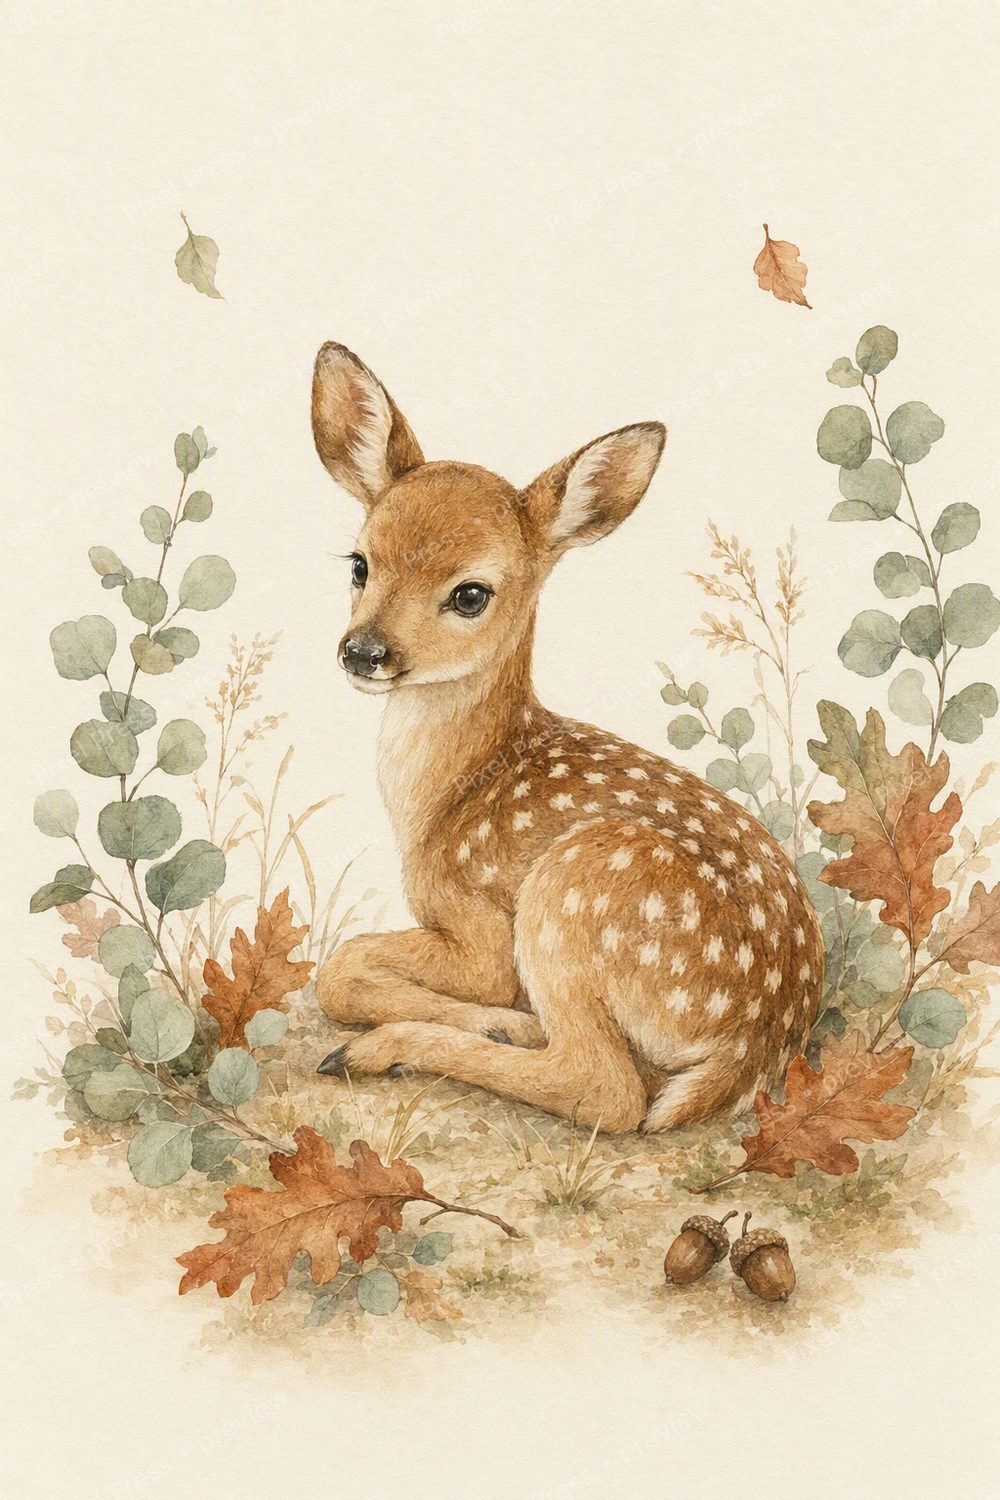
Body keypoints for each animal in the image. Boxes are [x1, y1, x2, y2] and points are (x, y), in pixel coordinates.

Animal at [311, 342, 823, 1133]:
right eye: (359, 564)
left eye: (470, 593)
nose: (363, 652)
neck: (448, 796)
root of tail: (755, 1044)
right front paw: (500, 1024)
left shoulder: (480, 929)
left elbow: (341, 967)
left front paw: (499, 1021)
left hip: (573, 898)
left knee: (605, 1090)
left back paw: (383, 1050)